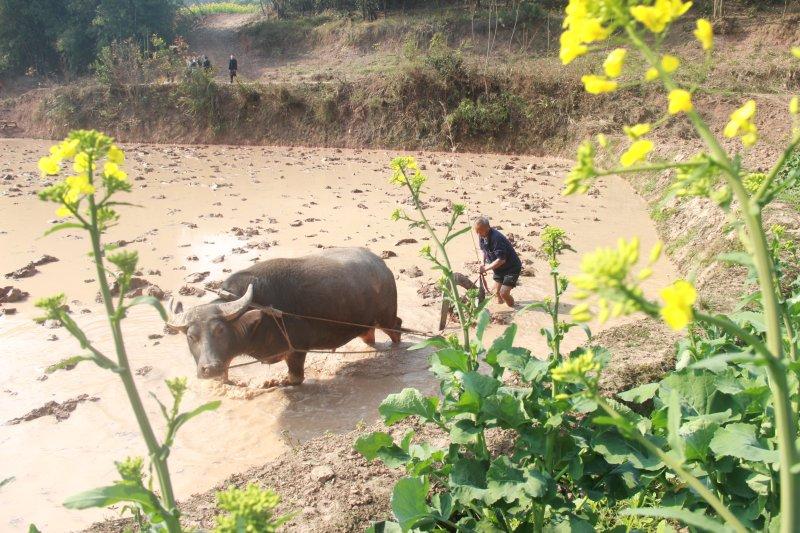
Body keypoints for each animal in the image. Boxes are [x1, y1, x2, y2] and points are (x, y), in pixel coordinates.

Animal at [170, 247, 406, 384]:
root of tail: (382, 265)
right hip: (364, 324)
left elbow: (294, 379)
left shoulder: (297, 350)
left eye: (220, 330)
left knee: (397, 327)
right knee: (369, 336)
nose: (209, 369)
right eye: (191, 336)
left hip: (386, 317)